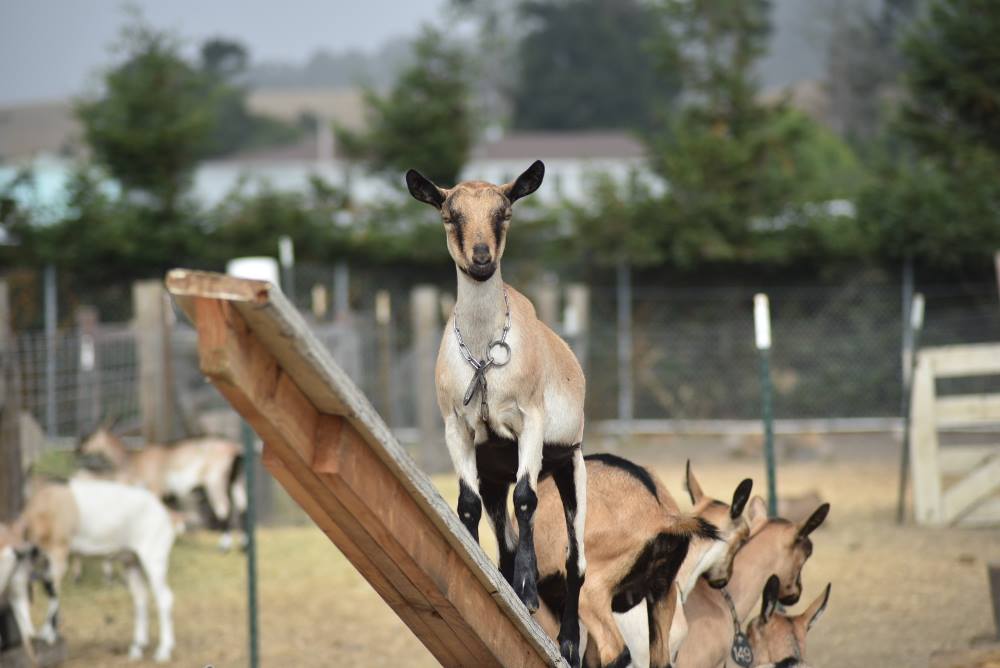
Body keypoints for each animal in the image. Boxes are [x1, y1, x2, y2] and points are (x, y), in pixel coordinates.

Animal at [77, 426, 246, 552]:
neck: (133, 460)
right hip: (237, 482)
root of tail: (235, 449)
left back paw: (224, 546)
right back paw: (243, 546)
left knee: (223, 508)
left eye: (90, 436)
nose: (79, 448)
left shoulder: (154, 488)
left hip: (215, 482)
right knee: (242, 506)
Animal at [406, 162, 588, 668]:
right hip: (494, 477)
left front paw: (526, 590)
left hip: (572, 464)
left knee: (576, 560)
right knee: (503, 537)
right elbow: (465, 506)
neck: (485, 351)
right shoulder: (457, 429)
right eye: (450, 215)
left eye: (504, 213)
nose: (482, 258)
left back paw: (568, 641)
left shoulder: (531, 422)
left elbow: (527, 499)